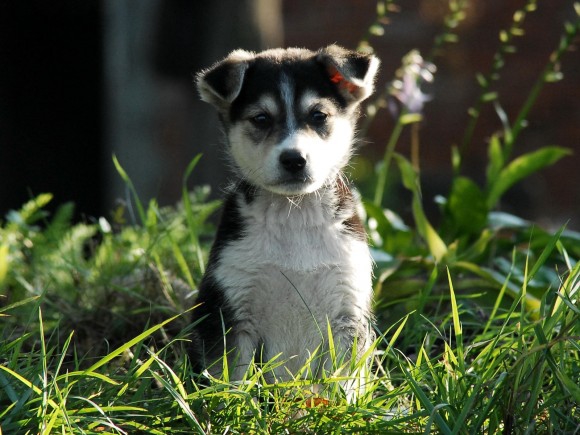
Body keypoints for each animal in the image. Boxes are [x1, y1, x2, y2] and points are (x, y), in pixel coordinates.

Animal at [193, 45, 378, 388]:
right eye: (261, 118)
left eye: (318, 116)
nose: (294, 159)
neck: (295, 215)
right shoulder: (232, 309)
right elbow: (231, 381)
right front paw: (228, 403)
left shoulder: (347, 310)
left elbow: (342, 383)